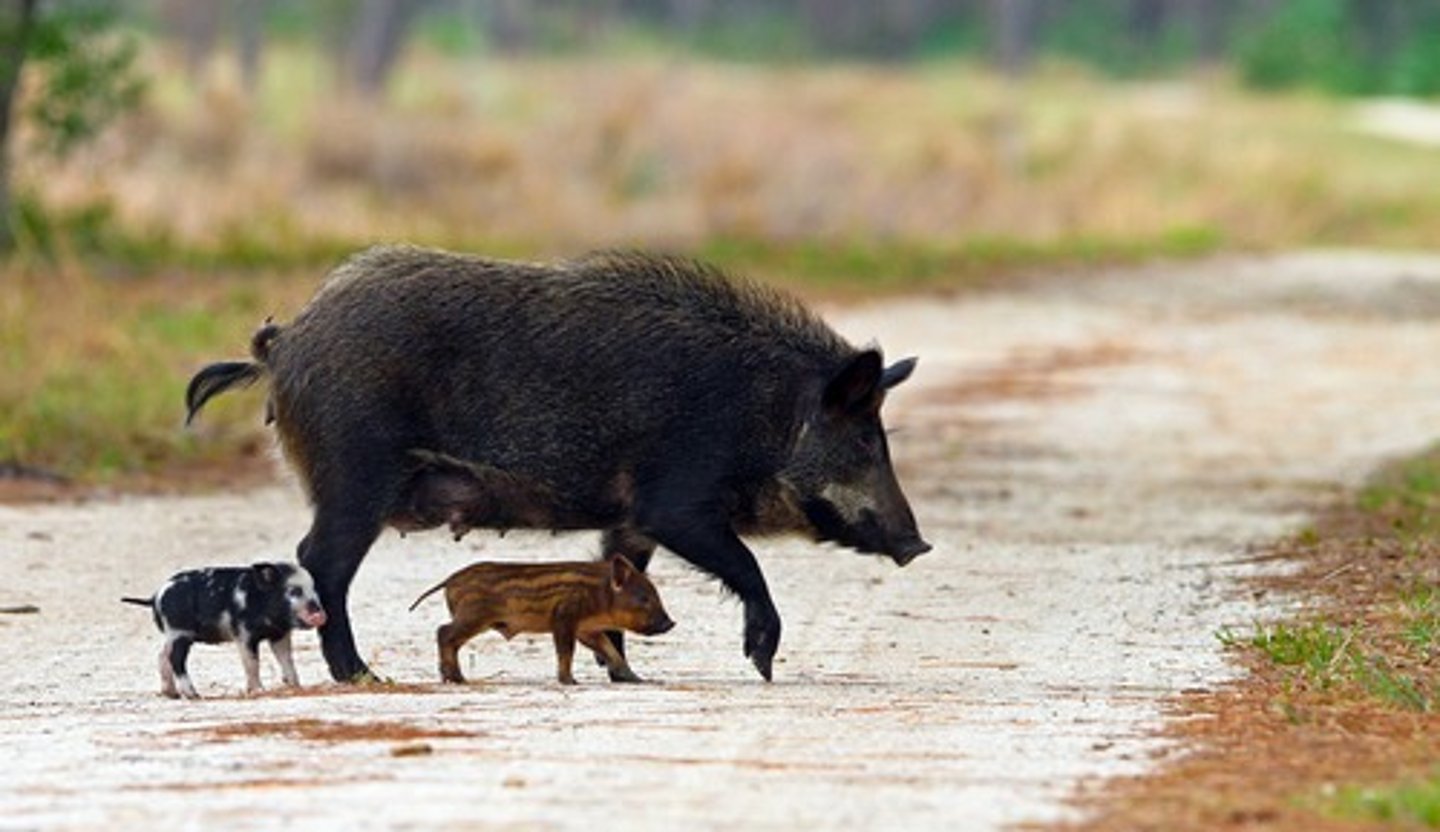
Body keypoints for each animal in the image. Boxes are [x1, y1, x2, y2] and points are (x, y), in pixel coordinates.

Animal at [122, 562, 327, 699]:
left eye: (314, 589)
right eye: (294, 591)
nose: (320, 615)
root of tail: (156, 596)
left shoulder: (279, 635)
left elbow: (287, 661)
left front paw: (296, 687)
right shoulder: (243, 635)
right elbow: (252, 663)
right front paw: (258, 691)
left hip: (172, 636)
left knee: (162, 656)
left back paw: (171, 694)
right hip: (179, 633)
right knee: (175, 659)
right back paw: (194, 695)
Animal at [408, 556, 675, 685]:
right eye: (643, 598)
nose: (670, 623)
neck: (600, 594)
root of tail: (450, 580)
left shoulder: (586, 629)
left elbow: (609, 650)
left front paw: (638, 680)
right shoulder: (564, 619)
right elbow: (566, 650)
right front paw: (570, 682)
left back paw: (455, 678)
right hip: (473, 617)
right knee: (443, 632)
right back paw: (456, 679)